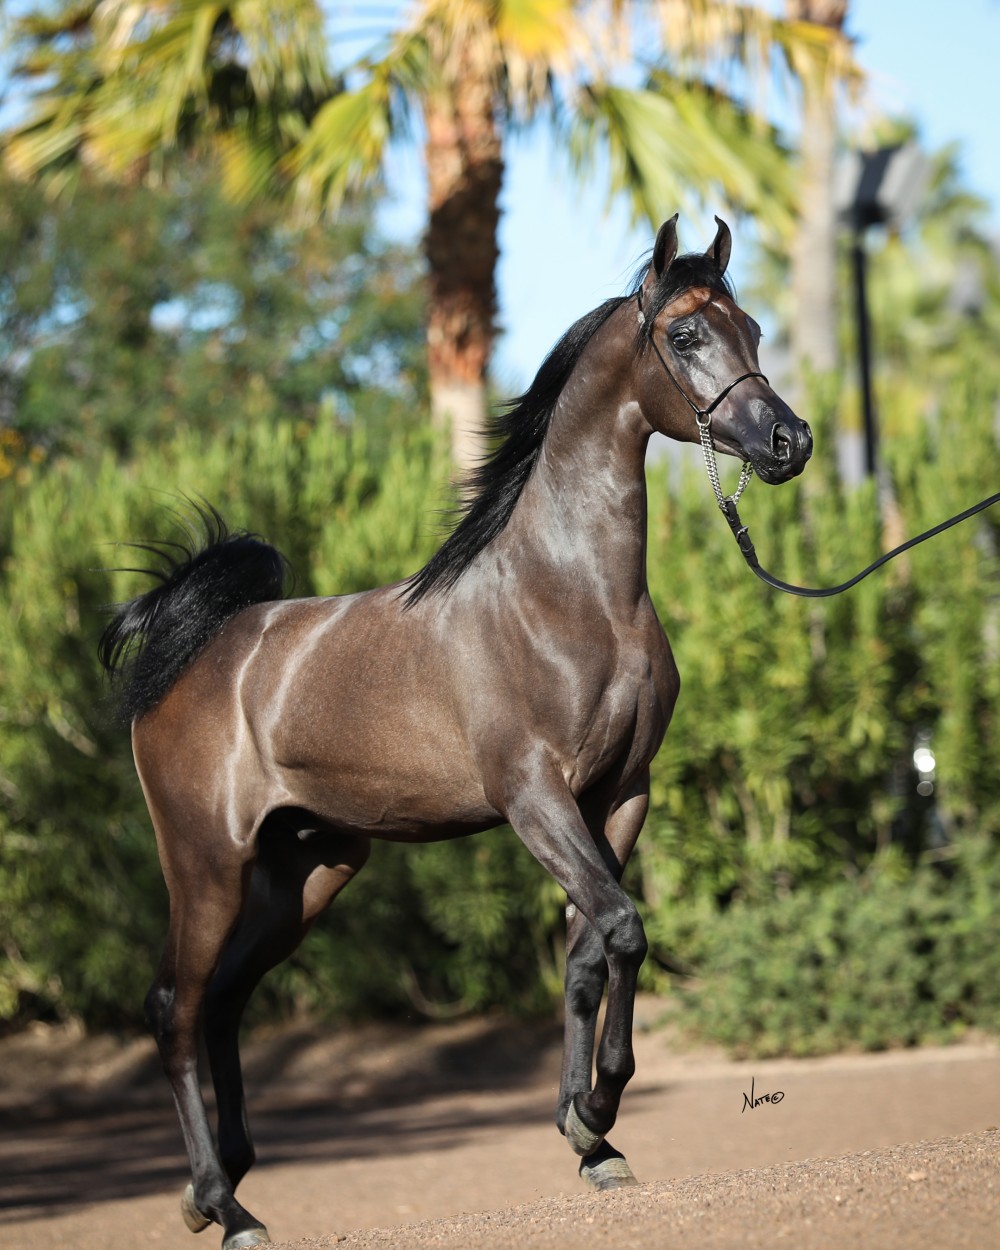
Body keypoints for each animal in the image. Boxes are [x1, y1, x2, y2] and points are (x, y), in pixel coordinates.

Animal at [99, 215, 812, 1249]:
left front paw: (592, 1142)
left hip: (307, 870)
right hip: (207, 865)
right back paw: (225, 1208)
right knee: (175, 1008)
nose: (788, 440)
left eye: (750, 327)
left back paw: (222, 1184)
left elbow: (588, 953)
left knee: (224, 1002)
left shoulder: (618, 798)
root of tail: (196, 654)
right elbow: (624, 929)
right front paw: (596, 1109)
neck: (571, 599)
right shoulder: (534, 800)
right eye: (685, 336)